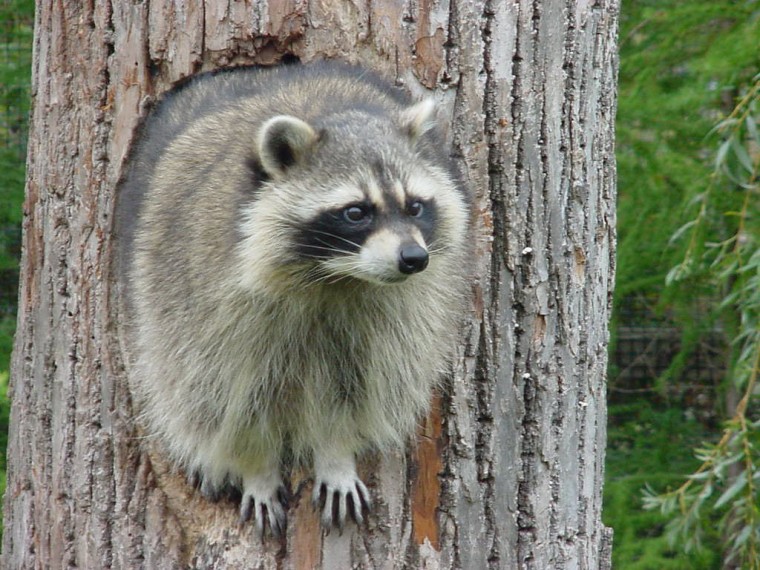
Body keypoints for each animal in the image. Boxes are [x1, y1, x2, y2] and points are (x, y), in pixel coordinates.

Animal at [116, 62, 471, 537]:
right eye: (356, 212)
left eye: (415, 206)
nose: (414, 259)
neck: (335, 276)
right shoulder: (204, 299)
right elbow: (222, 398)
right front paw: (254, 465)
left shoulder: (396, 314)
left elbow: (358, 387)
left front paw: (336, 453)